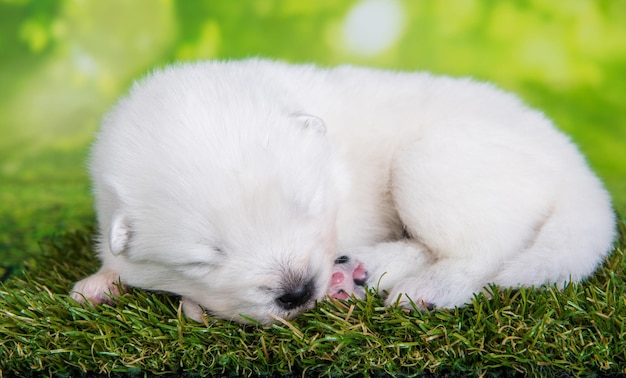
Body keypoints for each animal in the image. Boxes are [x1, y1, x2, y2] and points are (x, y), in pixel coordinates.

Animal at [69, 59, 616, 324]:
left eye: (305, 206)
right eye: (204, 258)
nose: (297, 293)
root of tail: (577, 168)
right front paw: (100, 283)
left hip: (432, 161)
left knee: (484, 249)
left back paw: (423, 288)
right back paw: (357, 272)